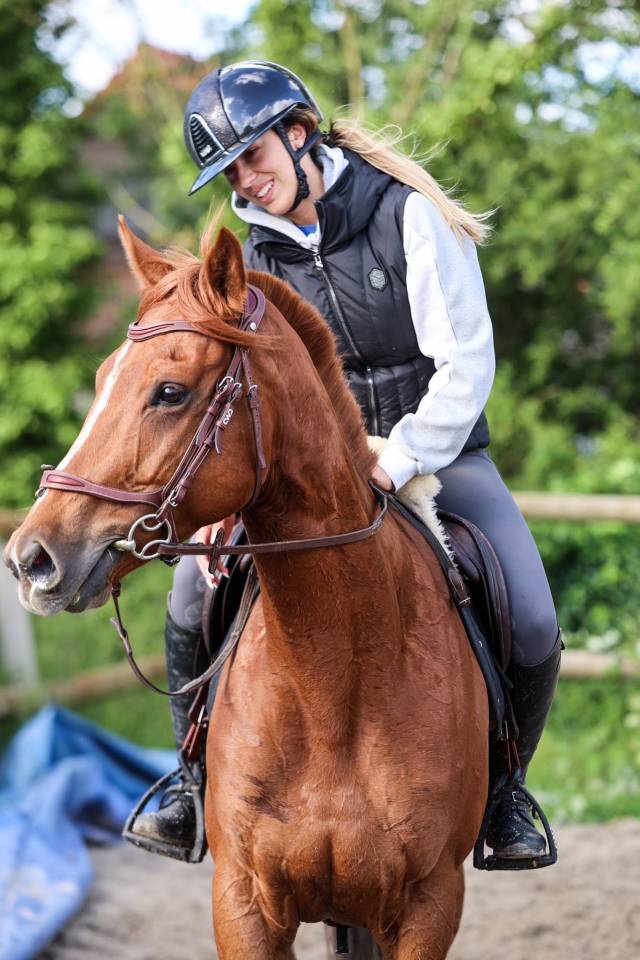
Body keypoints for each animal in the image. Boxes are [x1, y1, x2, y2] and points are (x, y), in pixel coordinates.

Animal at [5, 219, 488, 959]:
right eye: (103, 378)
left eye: (170, 391)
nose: (31, 559)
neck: (335, 681)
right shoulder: (244, 903)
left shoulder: (429, 906)